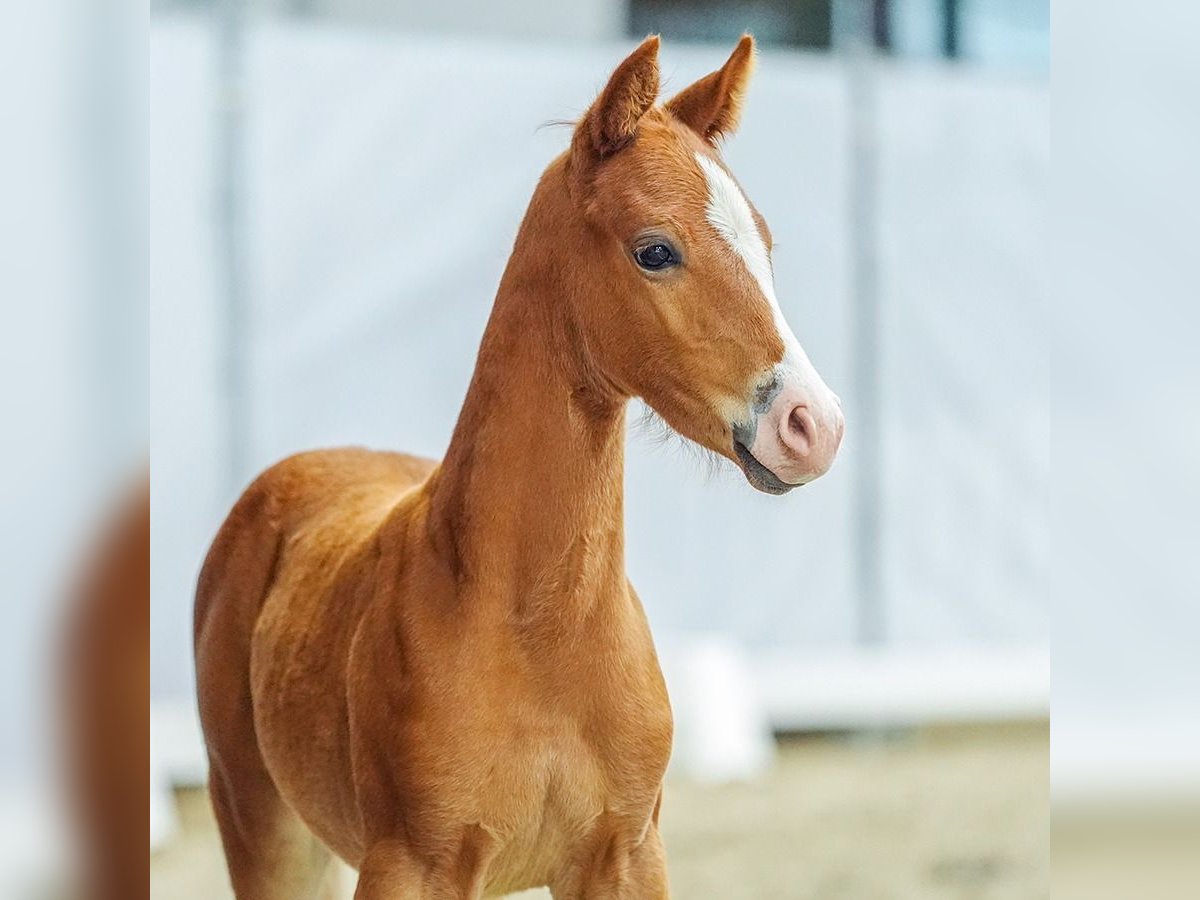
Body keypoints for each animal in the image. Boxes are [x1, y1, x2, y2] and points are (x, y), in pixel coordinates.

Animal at [196, 37, 844, 900]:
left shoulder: (627, 854)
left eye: (764, 246)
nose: (813, 425)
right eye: (655, 250)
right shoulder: (413, 865)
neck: (542, 633)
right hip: (261, 829)